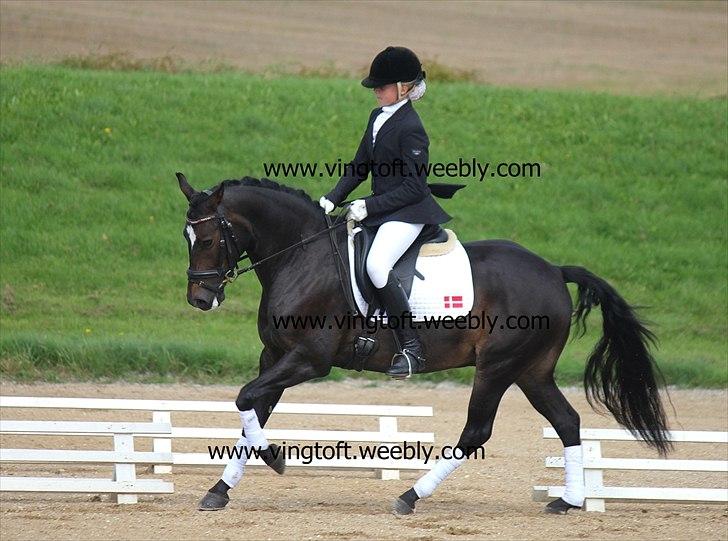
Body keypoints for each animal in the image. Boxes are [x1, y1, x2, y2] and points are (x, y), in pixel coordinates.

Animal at [176, 172, 671, 515]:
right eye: (187, 237)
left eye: (209, 237)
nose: (200, 299)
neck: (301, 255)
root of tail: (553, 269)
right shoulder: (275, 355)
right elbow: (252, 411)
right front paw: (219, 491)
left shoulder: (308, 360)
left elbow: (246, 399)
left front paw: (275, 459)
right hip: (532, 371)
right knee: (567, 421)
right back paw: (567, 502)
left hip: (498, 366)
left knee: (476, 432)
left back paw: (410, 496)